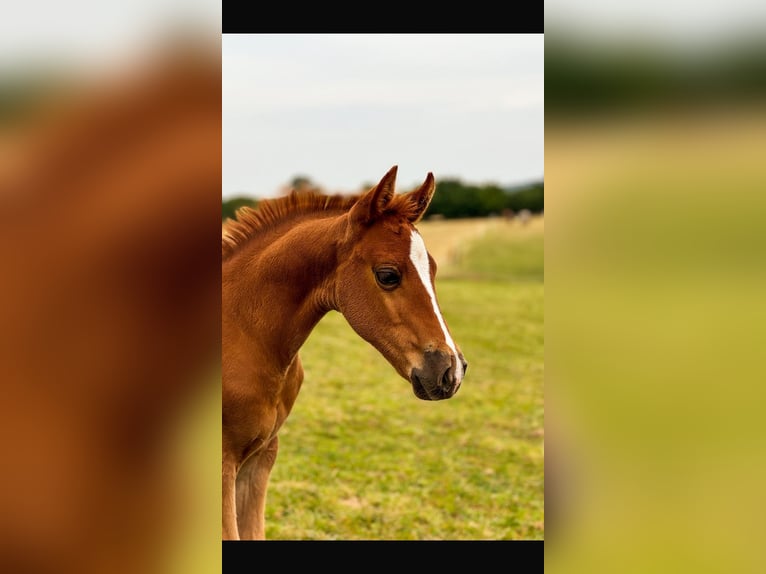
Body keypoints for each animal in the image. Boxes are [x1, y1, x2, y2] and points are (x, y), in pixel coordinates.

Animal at [219, 165, 464, 540]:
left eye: (433, 269)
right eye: (388, 275)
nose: (451, 371)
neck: (245, 334)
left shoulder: (260, 458)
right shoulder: (223, 464)